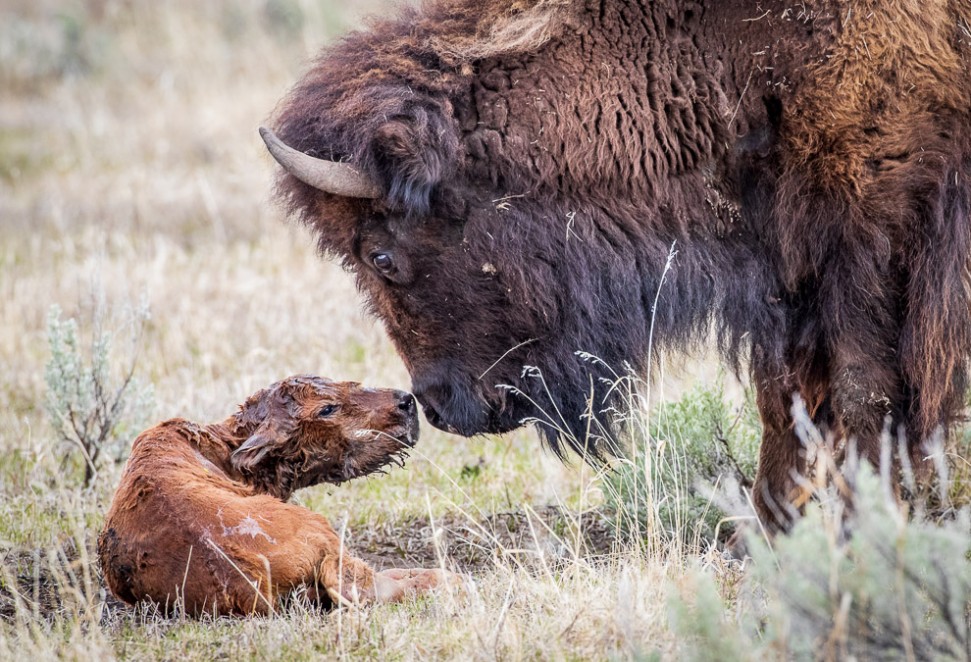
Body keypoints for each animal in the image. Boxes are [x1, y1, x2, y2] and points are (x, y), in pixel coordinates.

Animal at [100, 376, 458, 620]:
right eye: (326, 408)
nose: (406, 402)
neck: (228, 449)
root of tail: (248, 577)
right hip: (321, 530)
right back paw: (453, 580)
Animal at [258, 0, 971, 532]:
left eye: (381, 256)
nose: (437, 406)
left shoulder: (871, 240)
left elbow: (865, 395)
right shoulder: (788, 275)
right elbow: (787, 402)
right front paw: (770, 535)